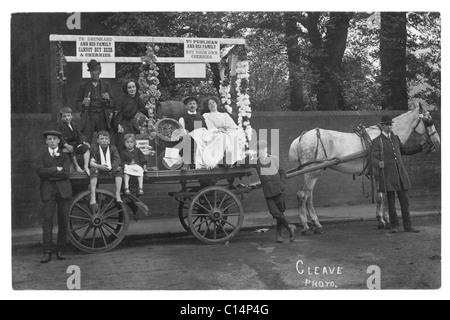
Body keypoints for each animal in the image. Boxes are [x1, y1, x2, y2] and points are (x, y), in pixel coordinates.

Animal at [288, 105, 440, 235]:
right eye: (429, 121)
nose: (437, 141)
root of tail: (302, 137)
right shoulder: (380, 172)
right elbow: (382, 196)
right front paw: (385, 220)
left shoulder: (377, 174)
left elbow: (381, 196)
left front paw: (383, 219)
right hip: (312, 172)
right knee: (302, 196)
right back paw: (307, 226)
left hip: (311, 172)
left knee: (309, 196)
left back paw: (316, 224)